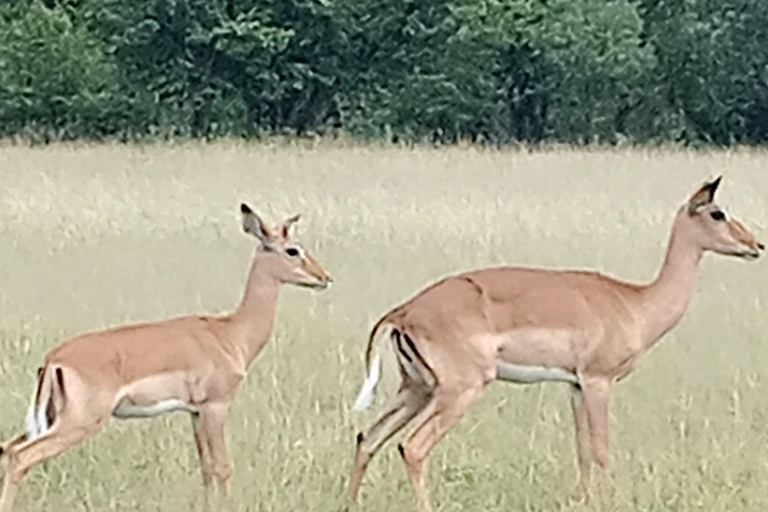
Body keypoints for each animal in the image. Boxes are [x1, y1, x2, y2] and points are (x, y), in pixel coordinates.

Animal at [0, 204, 330, 512]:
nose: (325, 277)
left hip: (48, 420)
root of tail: (54, 359)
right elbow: (222, 467)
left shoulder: (195, 413)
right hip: (79, 423)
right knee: (20, 456)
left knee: (7, 448)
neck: (230, 333)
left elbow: (206, 469)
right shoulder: (215, 406)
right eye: (292, 249)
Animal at [348, 177, 760, 512]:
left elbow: (582, 451)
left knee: (367, 437)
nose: (756, 244)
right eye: (718, 213)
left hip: (417, 388)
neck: (634, 302)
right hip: (459, 390)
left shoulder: (575, 385)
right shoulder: (598, 381)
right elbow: (602, 450)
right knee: (412, 448)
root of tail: (402, 312)